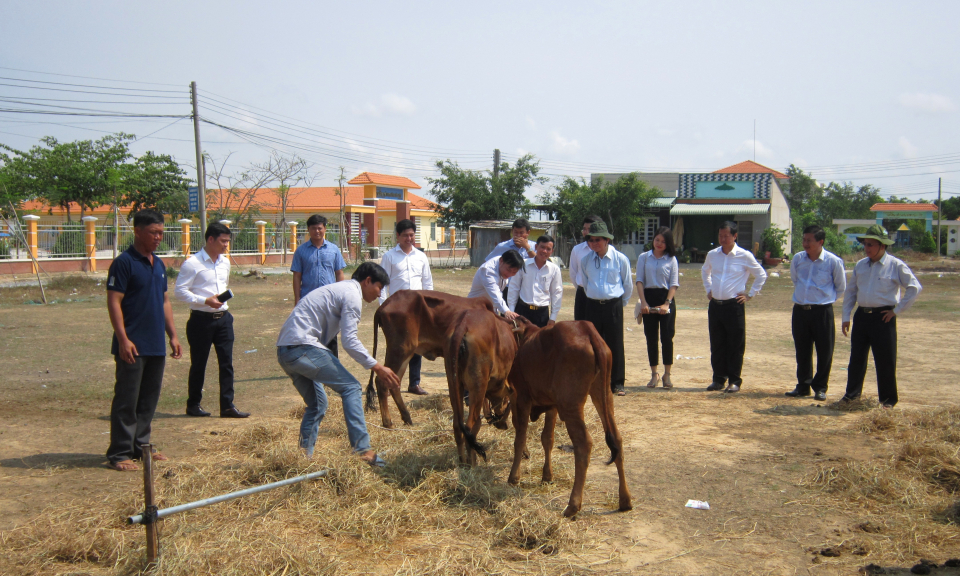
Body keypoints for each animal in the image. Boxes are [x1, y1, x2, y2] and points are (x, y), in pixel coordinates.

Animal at [442, 308, 516, 466]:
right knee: (469, 426)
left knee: (459, 426)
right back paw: (472, 464)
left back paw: (463, 462)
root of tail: (463, 324)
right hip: (477, 387)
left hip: (456, 386)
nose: (501, 424)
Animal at [506, 320, 632, 516]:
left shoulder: (523, 398)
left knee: (583, 444)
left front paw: (514, 476)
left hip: (571, 406)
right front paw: (547, 475)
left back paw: (573, 505)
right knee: (617, 440)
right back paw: (624, 500)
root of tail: (586, 329)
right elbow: (547, 439)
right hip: (602, 395)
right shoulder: (552, 406)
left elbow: (520, 438)